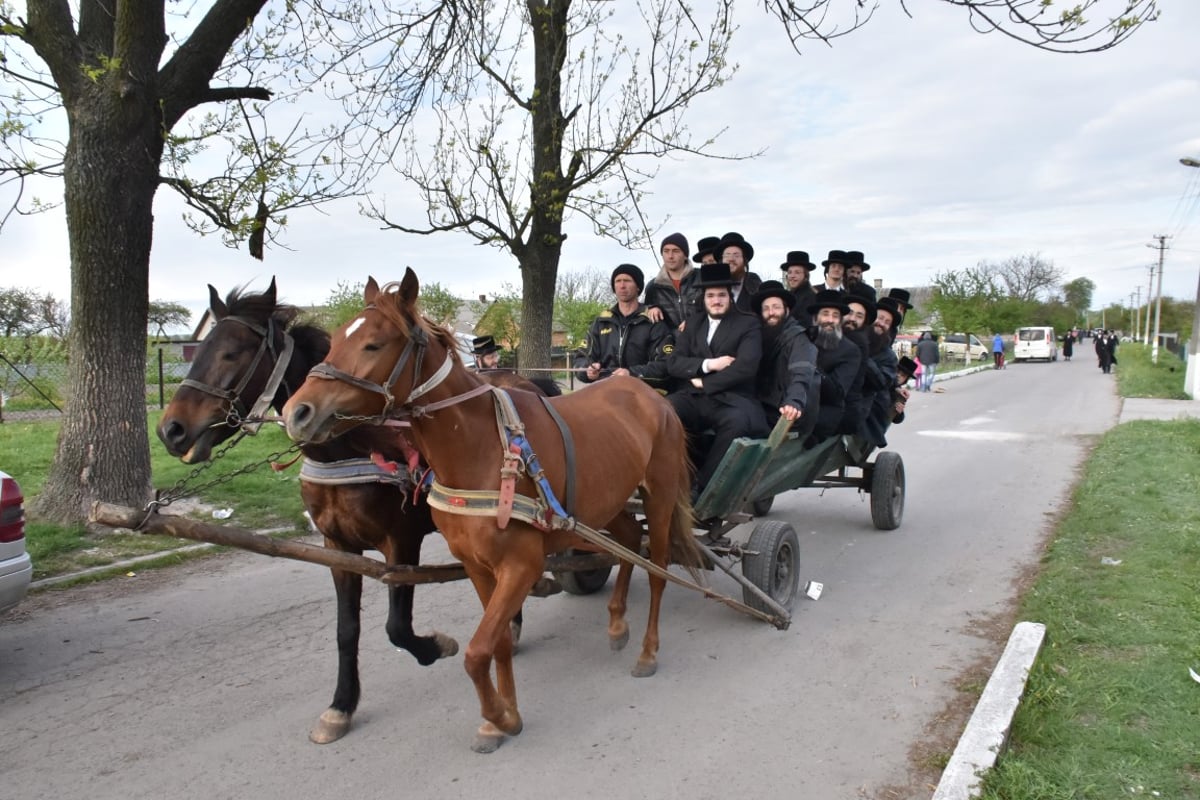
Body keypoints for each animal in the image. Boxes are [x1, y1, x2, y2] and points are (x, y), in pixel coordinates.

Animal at [154, 280, 535, 743]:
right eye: (201, 348)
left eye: (232, 353)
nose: (170, 430)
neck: (354, 447)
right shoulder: (337, 546)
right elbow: (346, 629)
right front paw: (341, 705)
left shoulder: (400, 542)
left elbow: (396, 625)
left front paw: (434, 647)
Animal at [280, 272, 700, 753]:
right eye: (332, 343)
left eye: (373, 344)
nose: (297, 412)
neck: (482, 447)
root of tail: (648, 393)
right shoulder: (478, 567)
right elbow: (494, 643)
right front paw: (505, 715)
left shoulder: (520, 565)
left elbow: (476, 651)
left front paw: (497, 715)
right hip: (605, 502)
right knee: (629, 541)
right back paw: (616, 624)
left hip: (659, 497)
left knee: (657, 568)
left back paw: (648, 650)